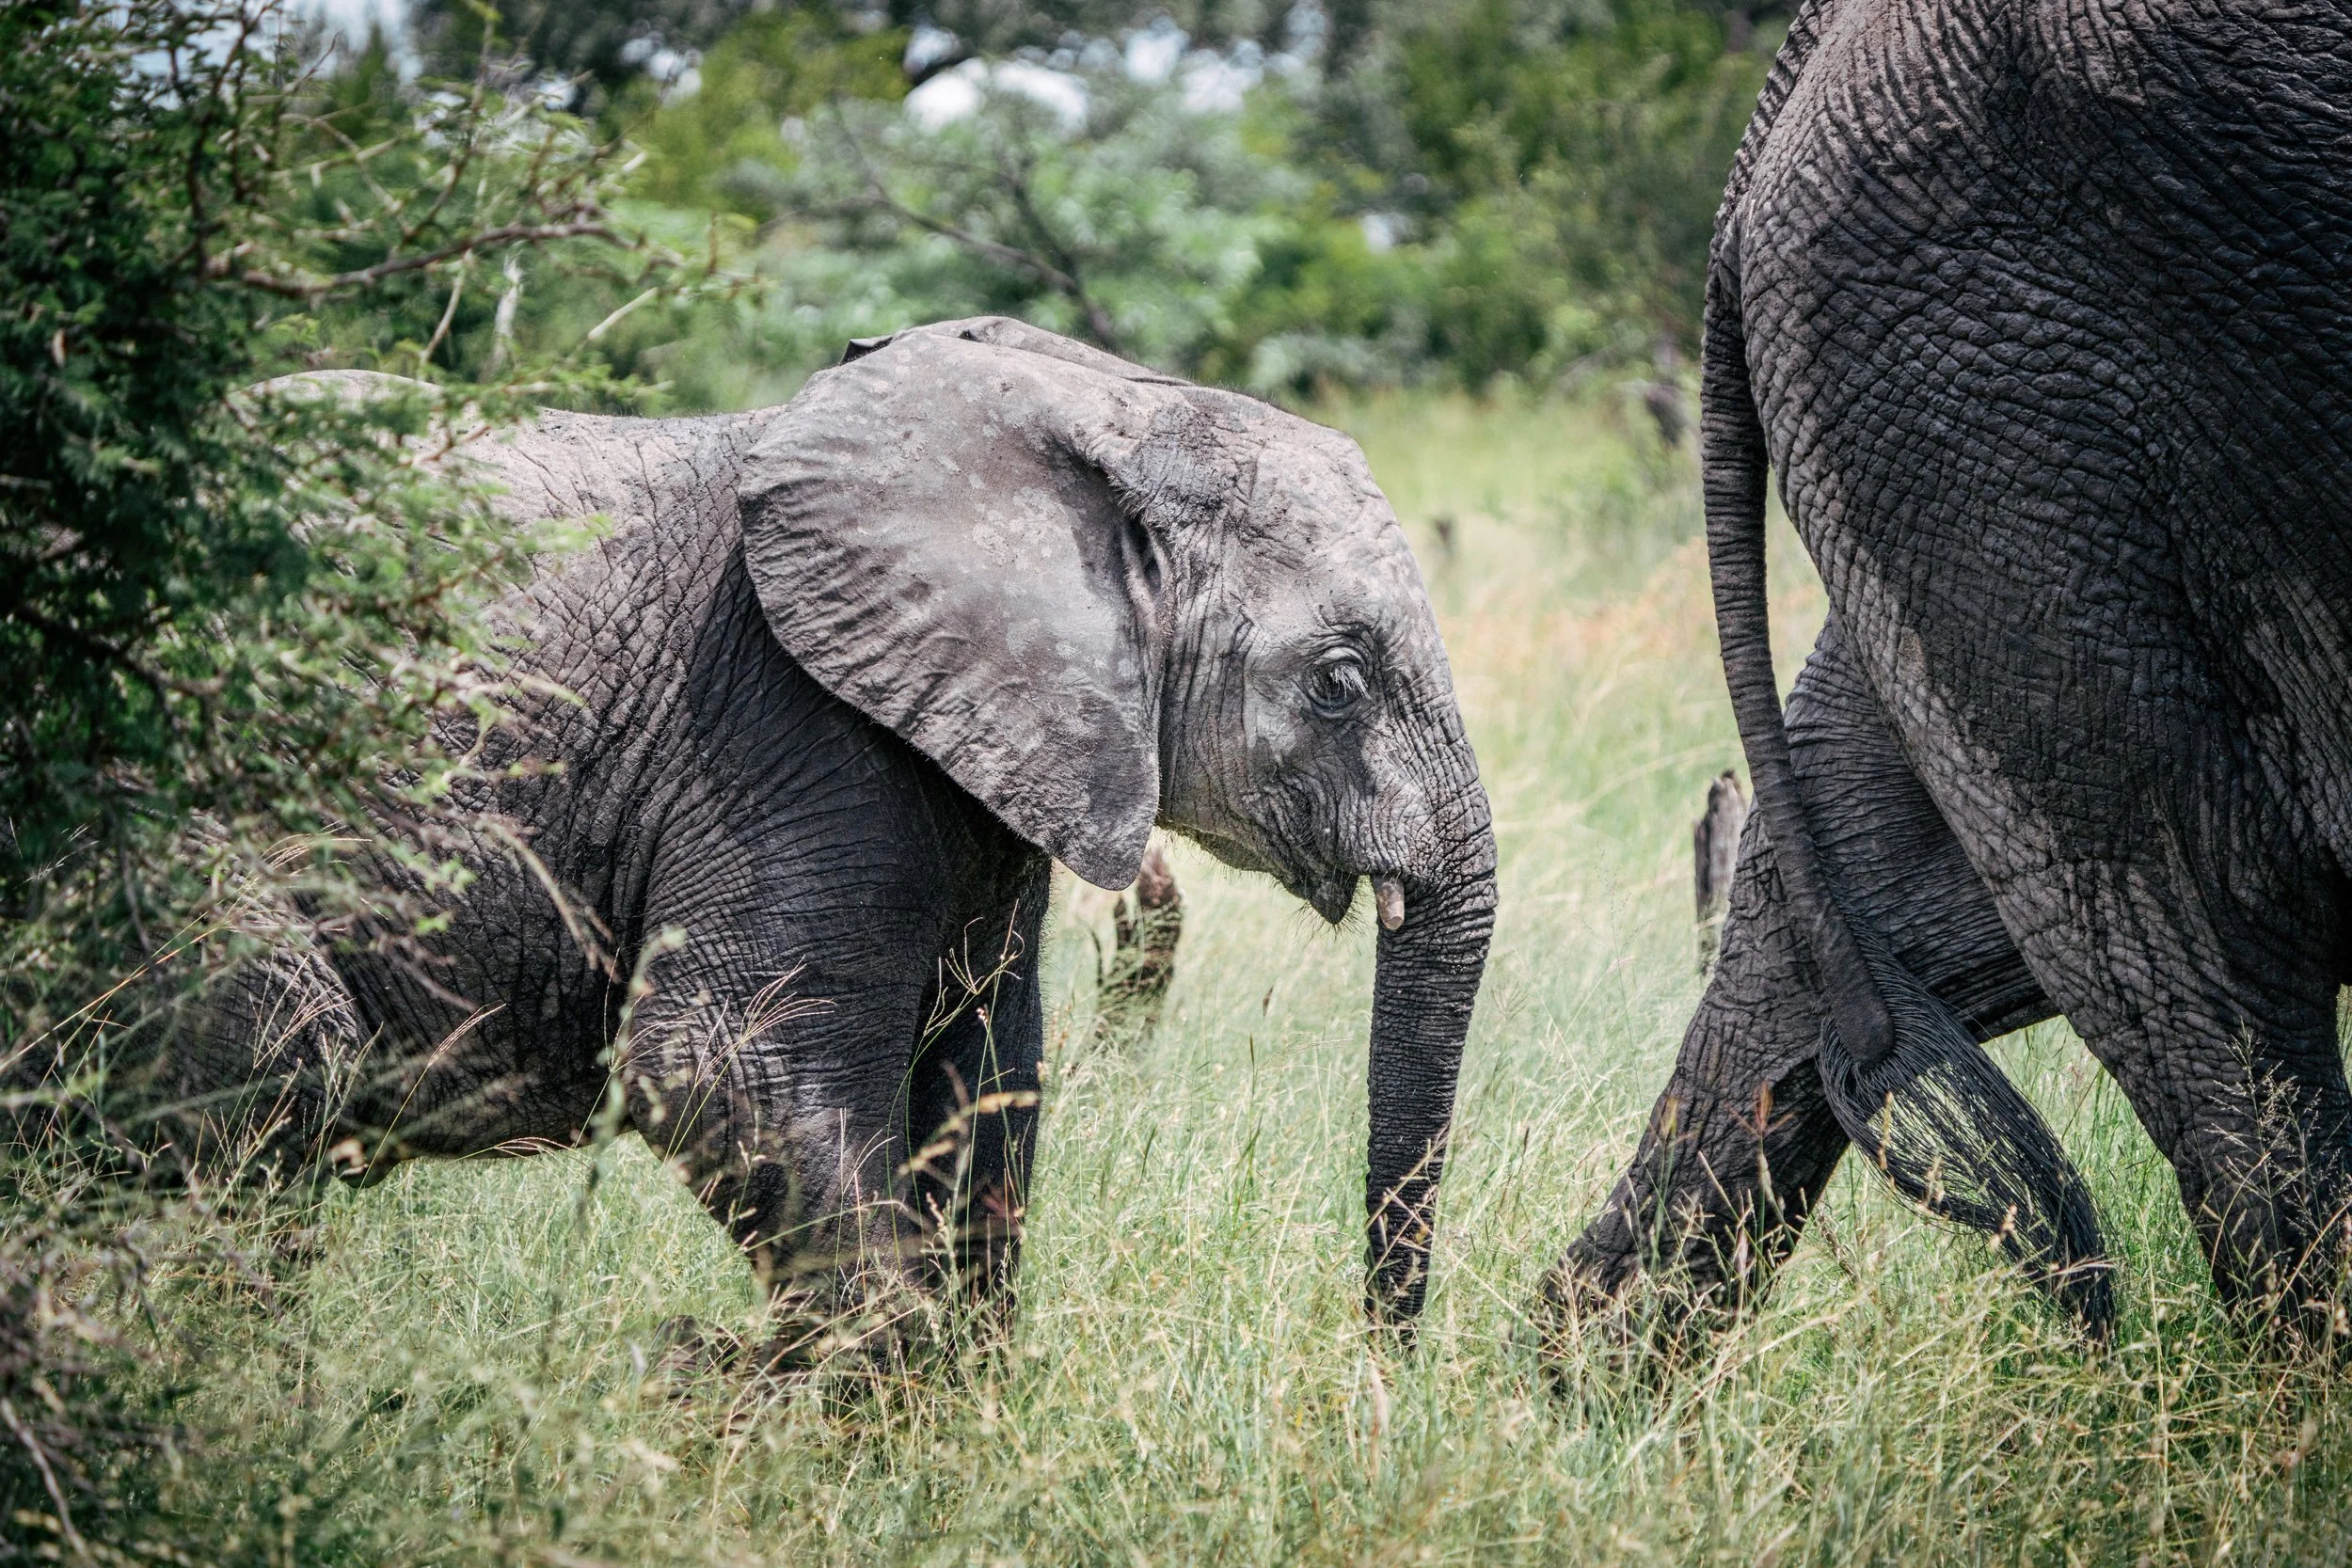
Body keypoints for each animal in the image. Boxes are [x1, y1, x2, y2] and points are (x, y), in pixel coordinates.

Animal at [151, 317, 1496, 1355]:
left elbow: (985, 1076)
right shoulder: (784, 724)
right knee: (276, 1058)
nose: (1374, 1372)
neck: (1093, 404)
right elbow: (723, 1068)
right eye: (1338, 681)